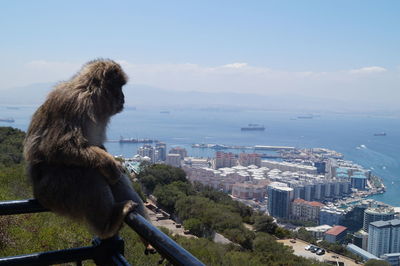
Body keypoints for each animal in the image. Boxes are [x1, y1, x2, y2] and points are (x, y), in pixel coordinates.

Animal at [23, 58, 152, 241]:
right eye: (119, 87)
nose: (123, 97)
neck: (91, 96)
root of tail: (37, 193)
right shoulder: (74, 104)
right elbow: (56, 147)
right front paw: (112, 165)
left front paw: (115, 164)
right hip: (52, 191)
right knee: (88, 174)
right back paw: (107, 226)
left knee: (113, 179)